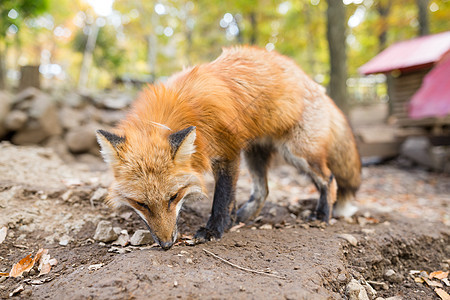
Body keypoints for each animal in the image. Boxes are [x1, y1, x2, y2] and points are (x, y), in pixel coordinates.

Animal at [96, 47, 360, 250]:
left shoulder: (228, 151)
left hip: (298, 152)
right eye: (142, 204)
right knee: (263, 190)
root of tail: (316, 84)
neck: (184, 109)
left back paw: (323, 214)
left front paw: (214, 229)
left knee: (329, 179)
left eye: (174, 197)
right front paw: (230, 222)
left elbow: (222, 198)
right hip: (255, 153)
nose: (167, 244)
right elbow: (231, 198)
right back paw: (247, 215)